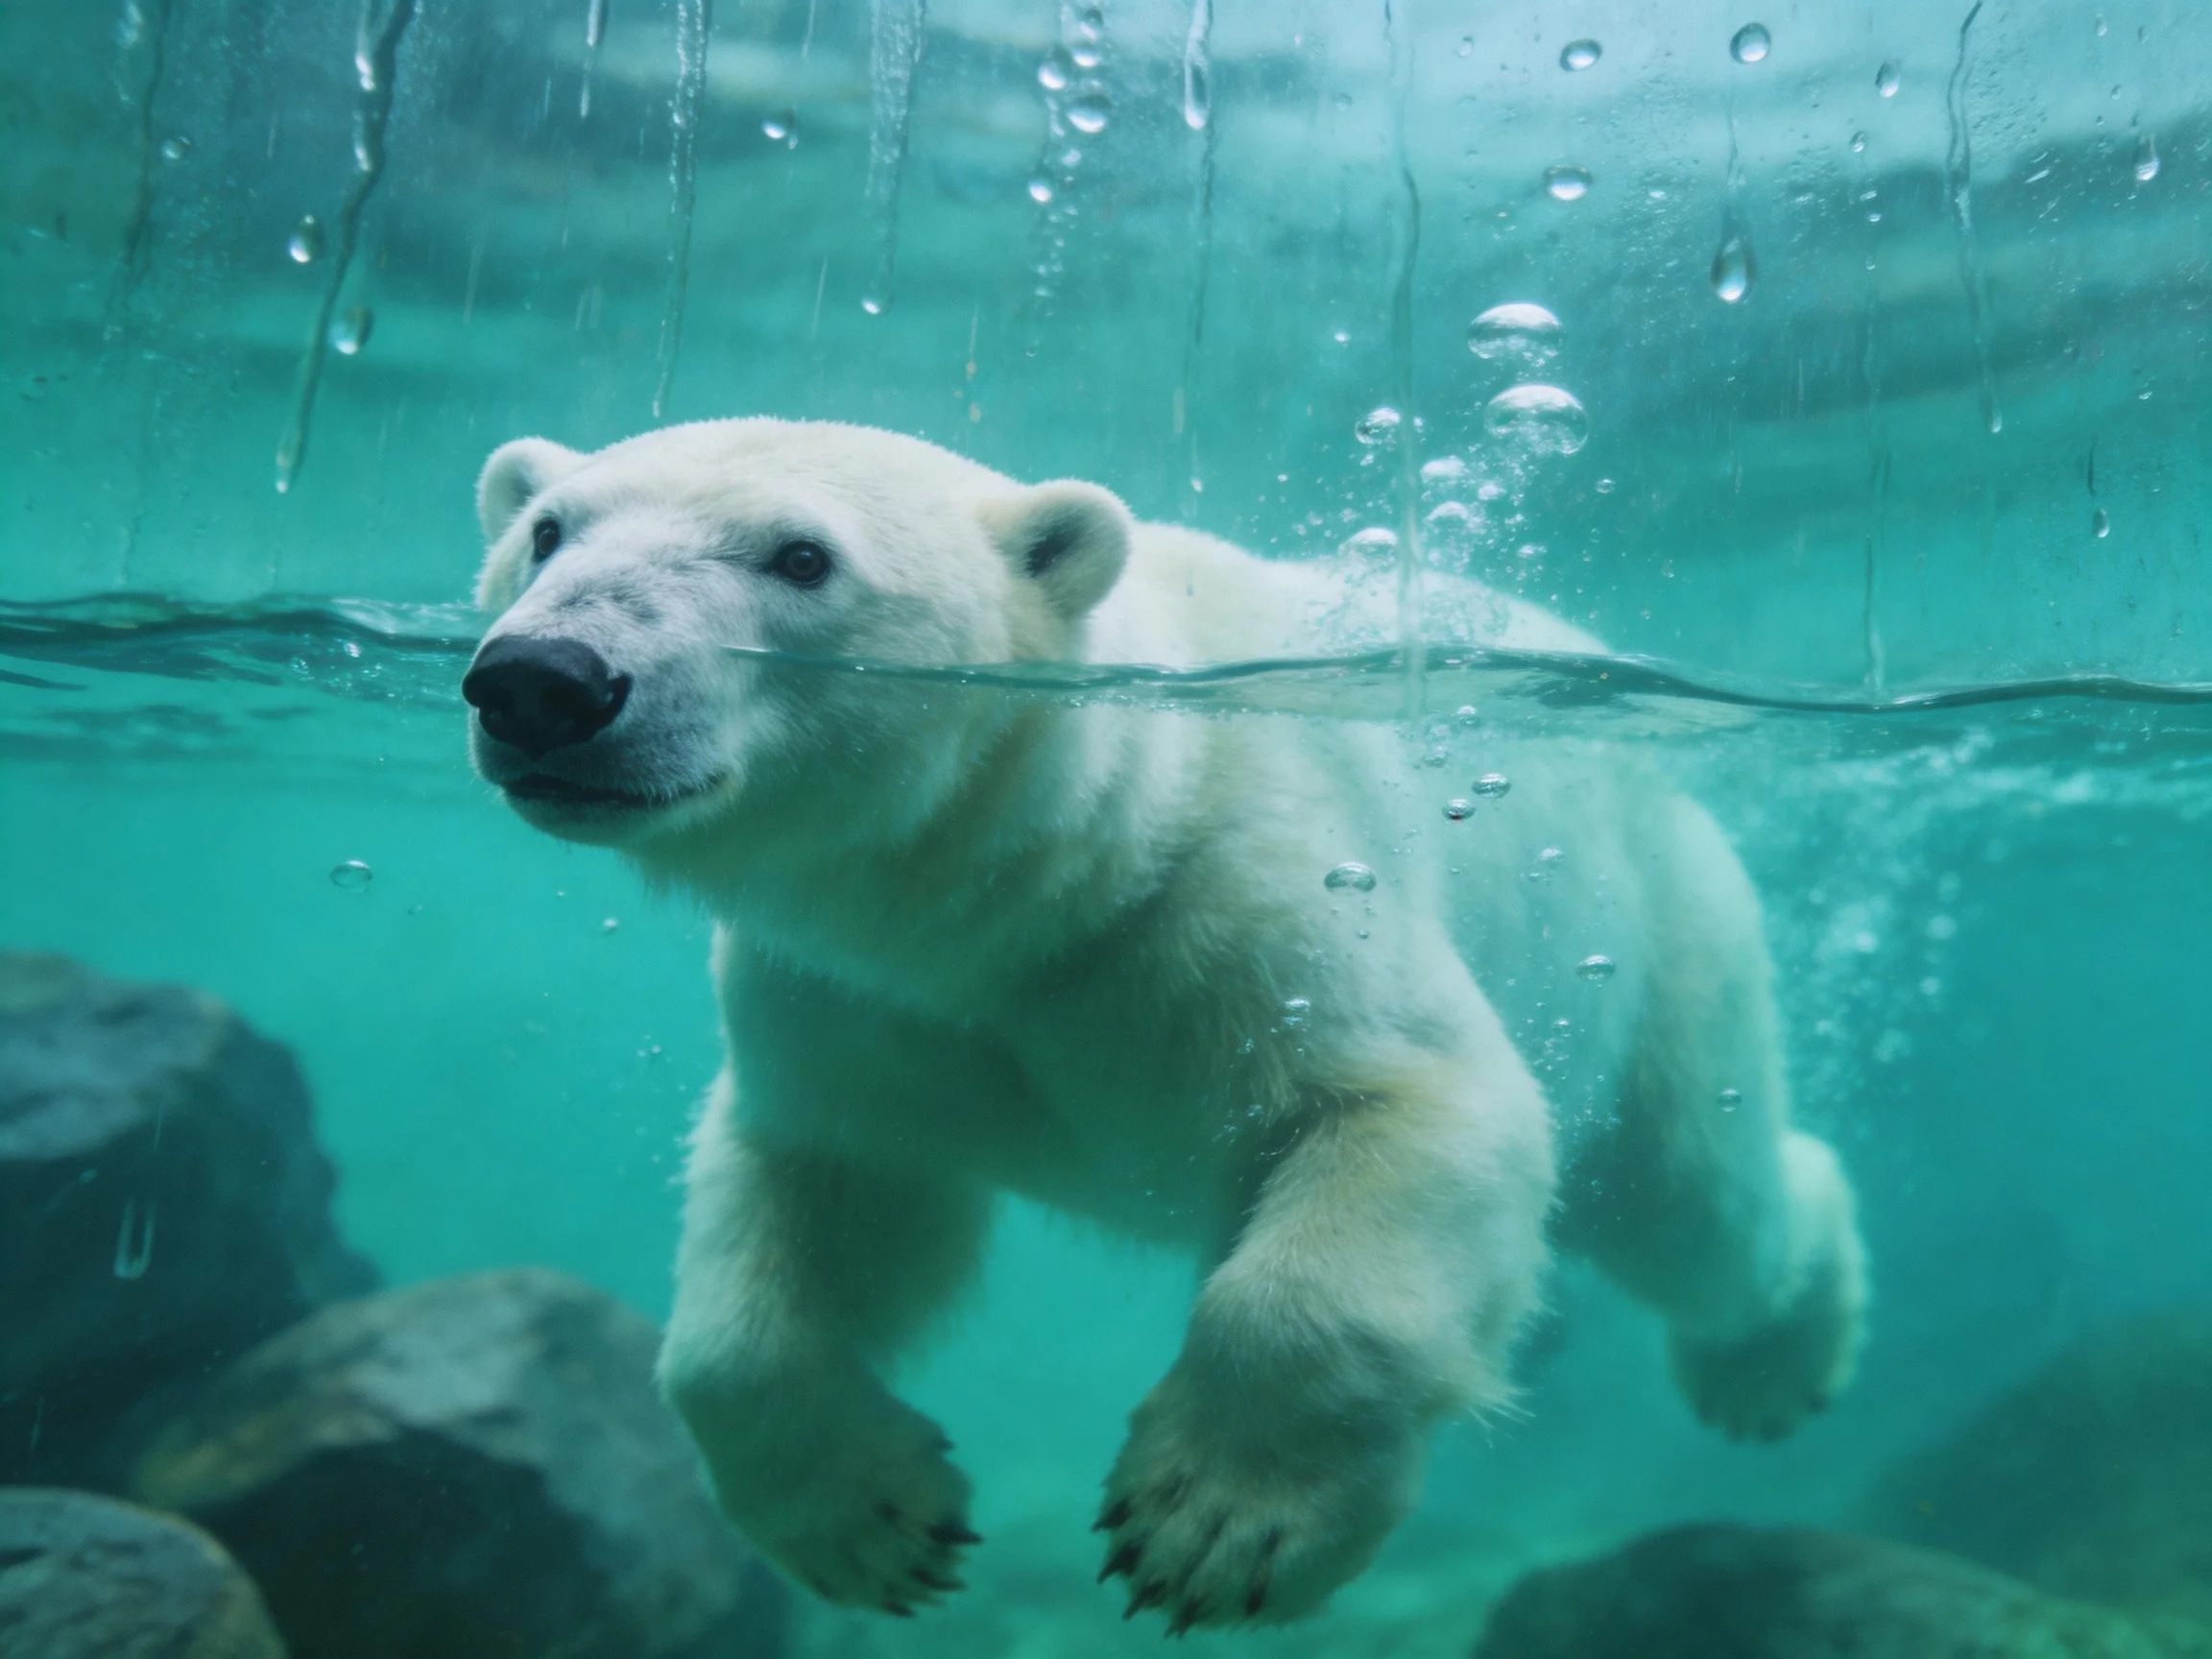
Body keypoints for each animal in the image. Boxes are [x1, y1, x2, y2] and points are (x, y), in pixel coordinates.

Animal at [460, 418, 1867, 1631]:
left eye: (802, 557)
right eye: (545, 530)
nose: (542, 681)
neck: (1038, 883)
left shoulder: (1255, 897)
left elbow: (1420, 1110)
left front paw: (1216, 1523)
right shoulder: (858, 1001)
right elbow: (813, 1204)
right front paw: (870, 1523)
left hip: (1655, 932)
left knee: (1694, 1201)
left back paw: (1771, 1360)